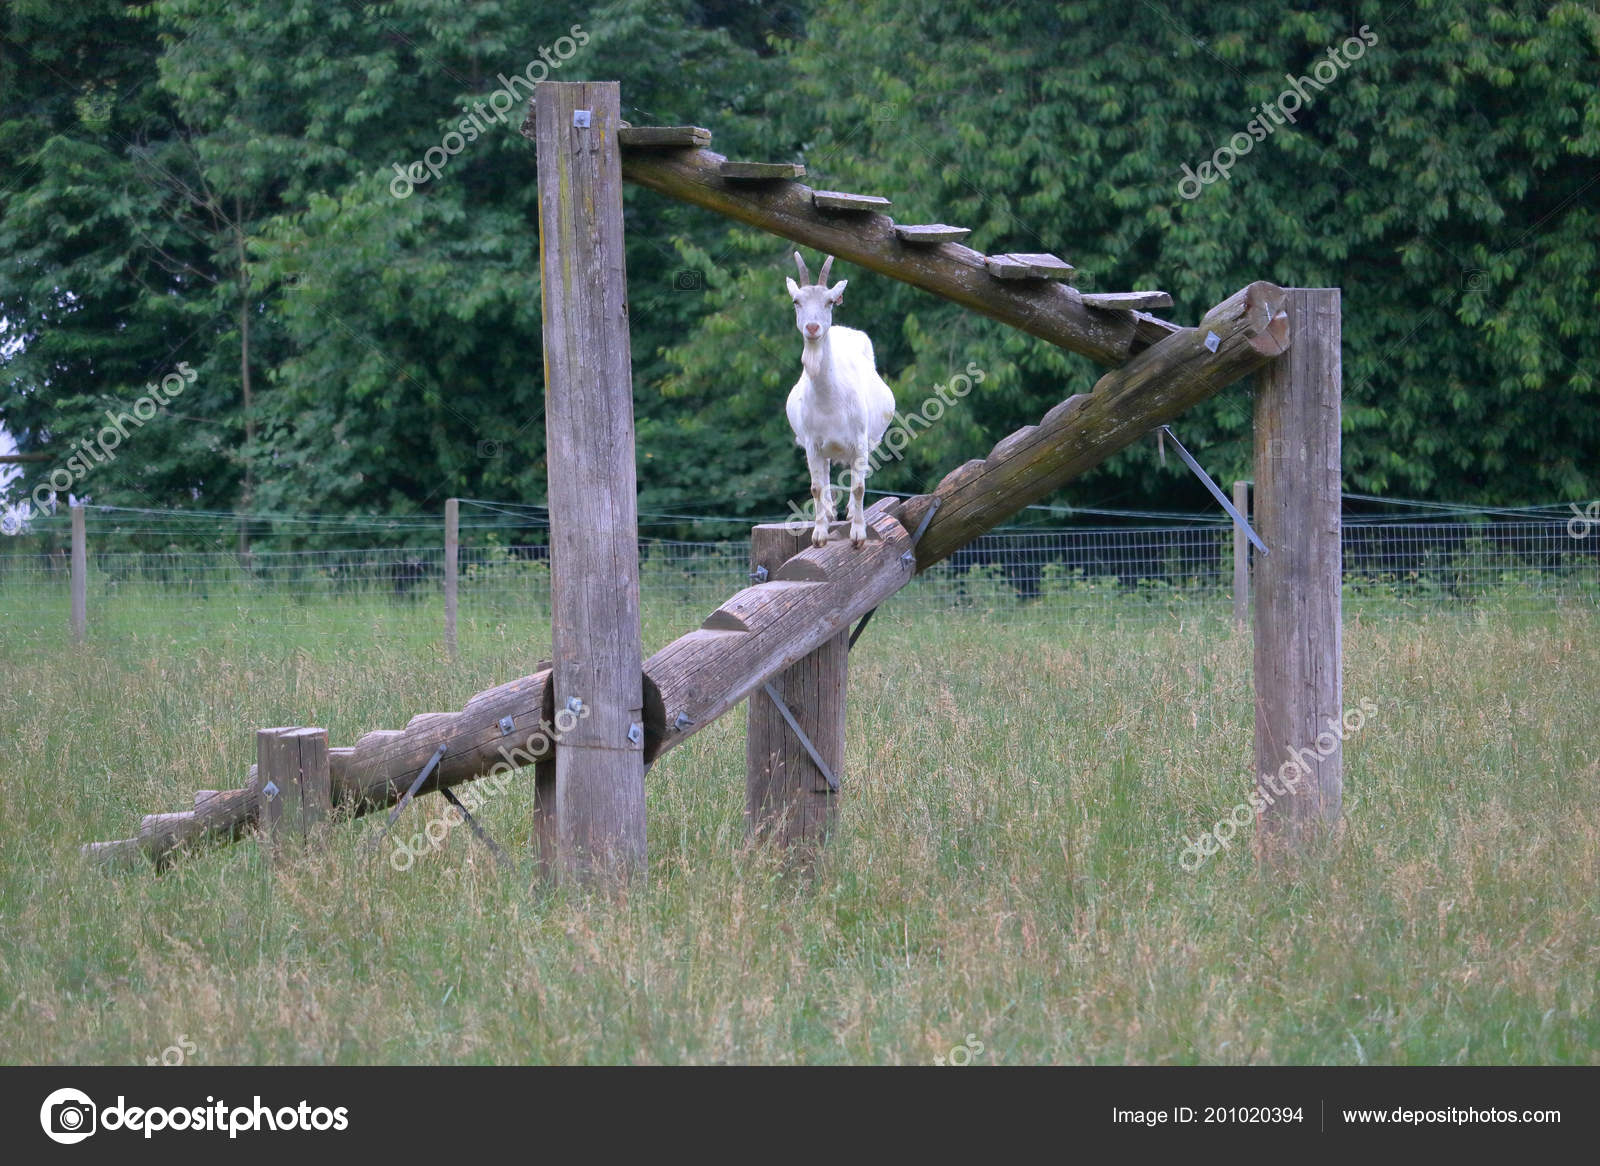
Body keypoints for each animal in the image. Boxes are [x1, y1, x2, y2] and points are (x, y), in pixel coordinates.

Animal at [784, 252, 896, 547]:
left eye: (830, 301)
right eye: (796, 301)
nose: (813, 327)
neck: (830, 402)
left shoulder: (859, 440)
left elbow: (858, 486)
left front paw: (858, 533)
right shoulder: (812, 443)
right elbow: (816, 486)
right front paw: (819, 534)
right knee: (825, 476)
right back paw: (830, 511)